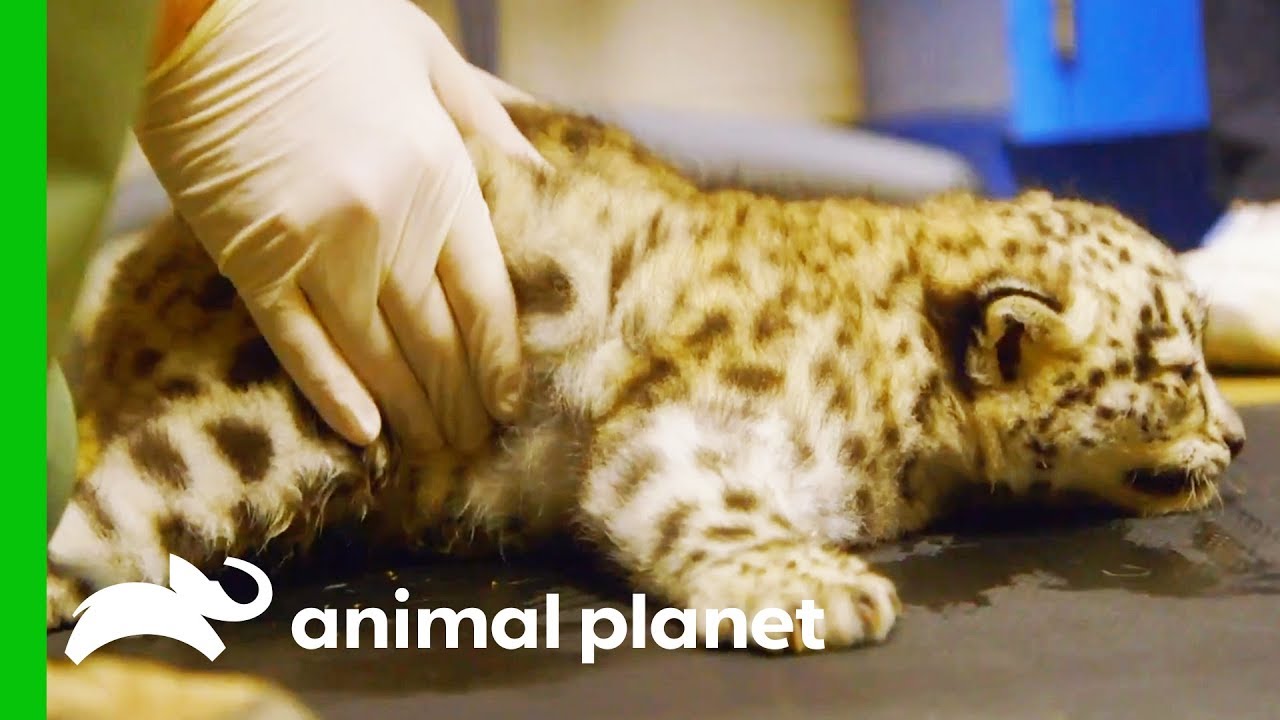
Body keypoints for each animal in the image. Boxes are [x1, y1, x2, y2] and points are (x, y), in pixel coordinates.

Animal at [48, 101, 1246, 677]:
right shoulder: (690, 428)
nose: (1238, 435)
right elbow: (705, 505)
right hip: (281, 430)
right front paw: (823, 589)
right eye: (1178, 367)